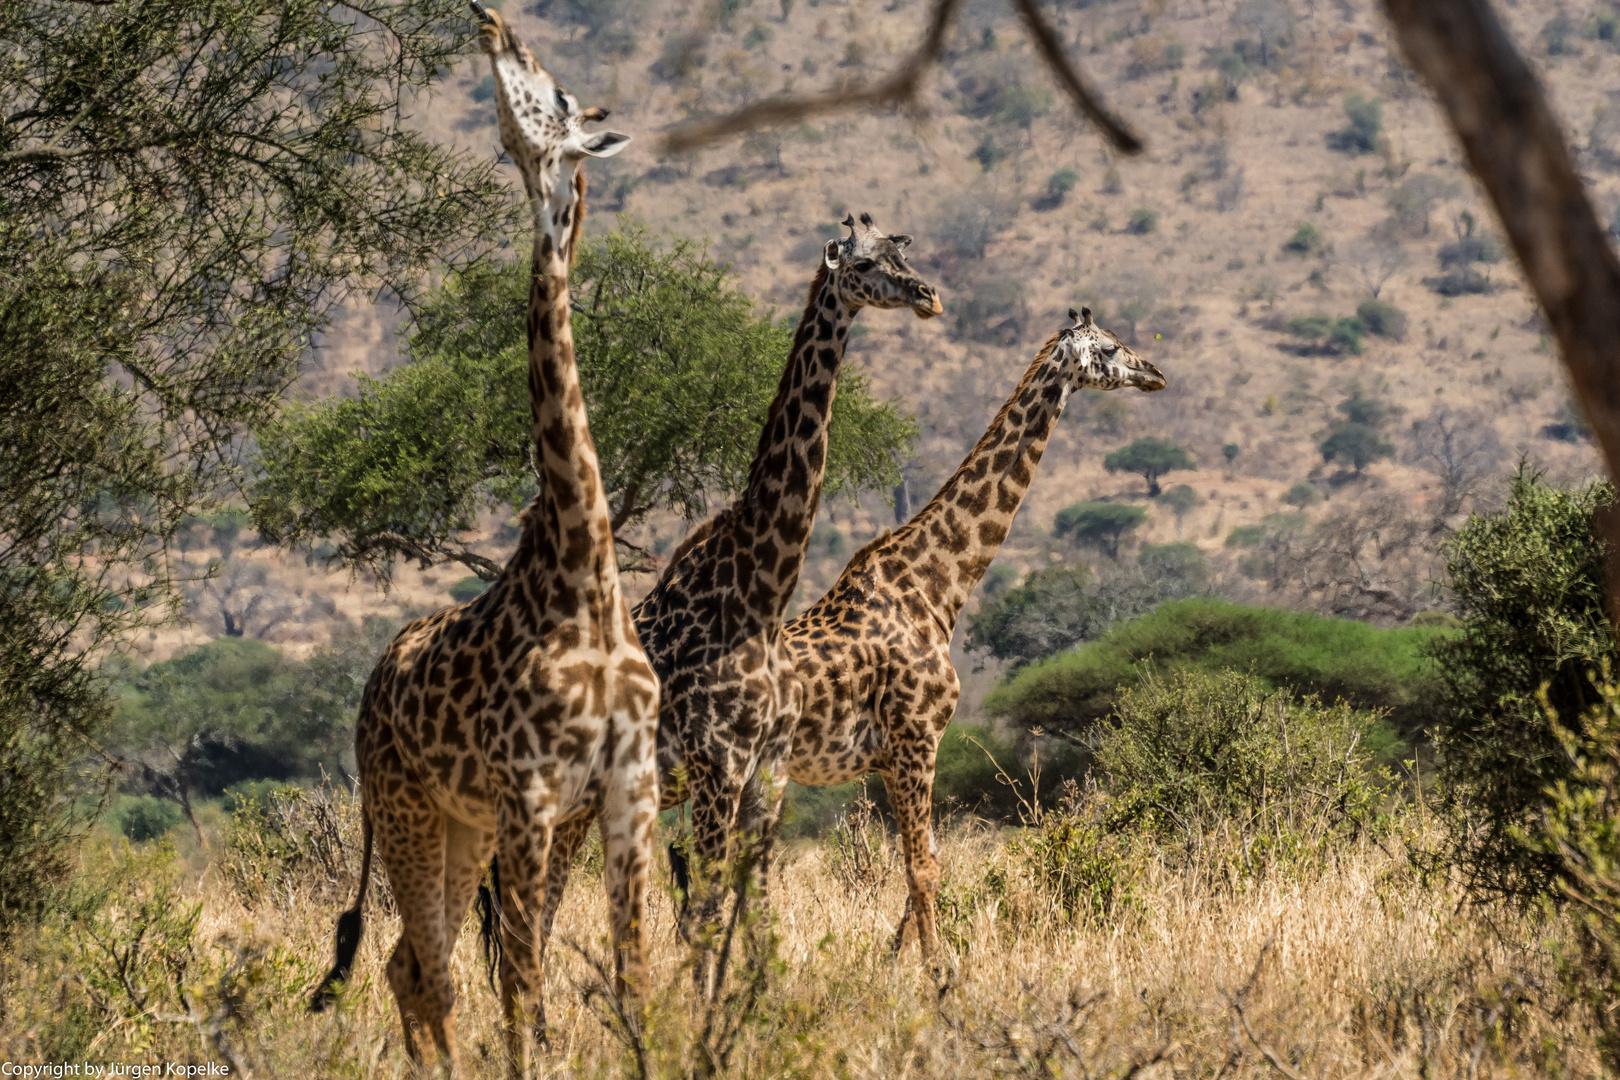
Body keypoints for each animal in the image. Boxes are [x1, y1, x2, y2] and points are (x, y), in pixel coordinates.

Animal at [306, 6, 654, 1075]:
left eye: (559, 95)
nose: (494, 21)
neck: (588, 569)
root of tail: (369, 688)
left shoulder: (627, 790)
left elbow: (632, 979)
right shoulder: (532, 797)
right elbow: (523, 984)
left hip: (458, 828)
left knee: (407, 967)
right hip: (410, 812)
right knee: (429, 970)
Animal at [537, 208, 939, 990]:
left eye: (903, 253)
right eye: (863, 265)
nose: (928, 296)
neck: (760, 593)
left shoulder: (764, 774)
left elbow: (754, 911)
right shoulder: (715, 767)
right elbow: (705, 909)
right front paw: (702, 1014)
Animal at [784, 304, 1166, 952]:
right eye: (1112, 348)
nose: (1156, 374)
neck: (935, 588)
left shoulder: (899, 756)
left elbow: (925, 866)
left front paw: (893, 960)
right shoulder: (916, 739)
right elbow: (922, 869)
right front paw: (938, 971)